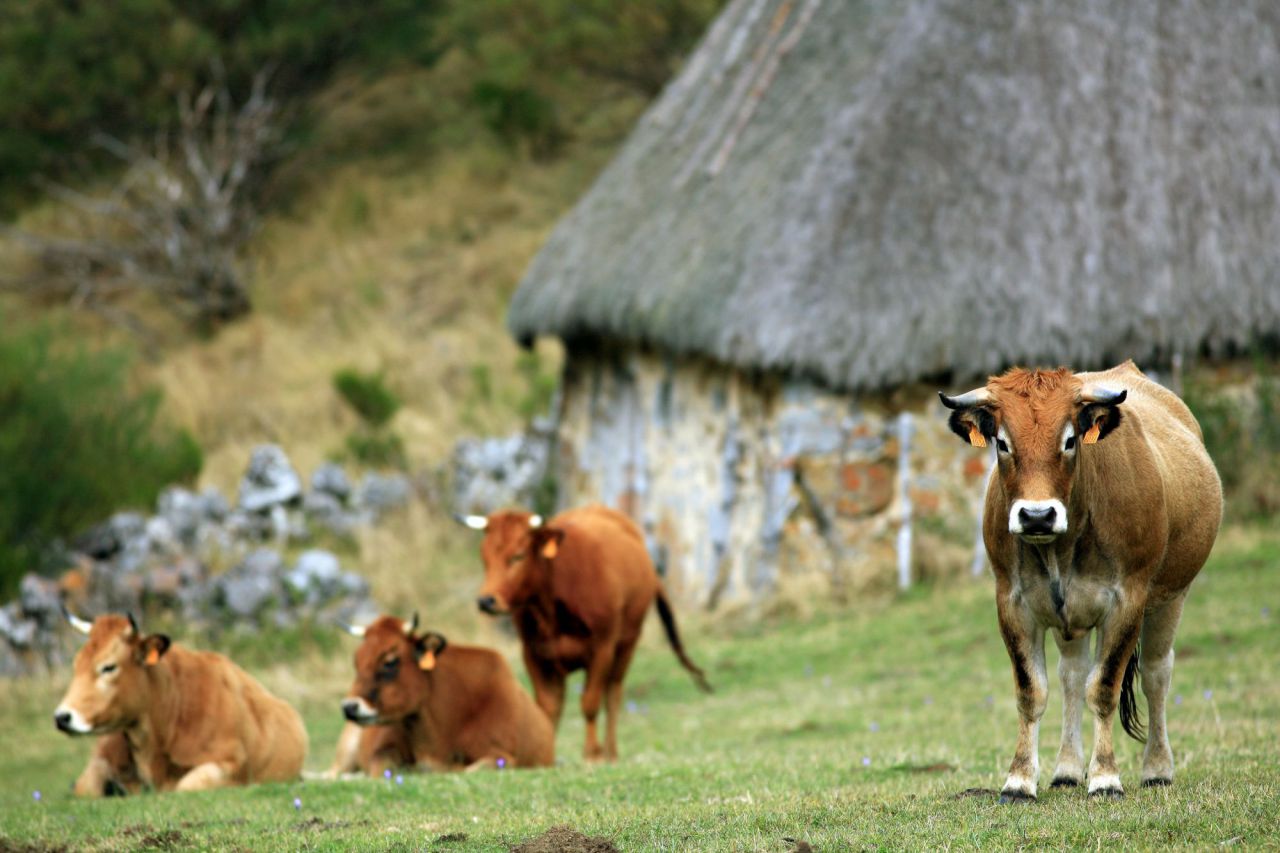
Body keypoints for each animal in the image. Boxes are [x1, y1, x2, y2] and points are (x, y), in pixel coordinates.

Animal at [53, 607, 308, 794]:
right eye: (76, 665)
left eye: (108, 667)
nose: (62, 717)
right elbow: (85, 787)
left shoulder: (229, 763)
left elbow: (186, 785)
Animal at [455, 502, 711, 758]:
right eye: (484, 557)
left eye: (518, 555)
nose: (486, 601)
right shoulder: (534, 654)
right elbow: (548, 707)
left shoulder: (602, 648)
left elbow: (590, 702)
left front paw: (592, 754)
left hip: (627, 643)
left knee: (613, 694)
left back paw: (610, 752)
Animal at [942, 361, 1218, 799]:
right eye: (1002, 443)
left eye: (1070, 440)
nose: (1037, 515)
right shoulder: (1013, 603)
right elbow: (1032, 691)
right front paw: (1019, 780)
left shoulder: (1127, 602)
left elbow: (1103, 687)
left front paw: (1105, 777)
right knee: (1071, 676)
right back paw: (1067, 770)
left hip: (1172, 598)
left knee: (1156, 674)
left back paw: (1157, 768)